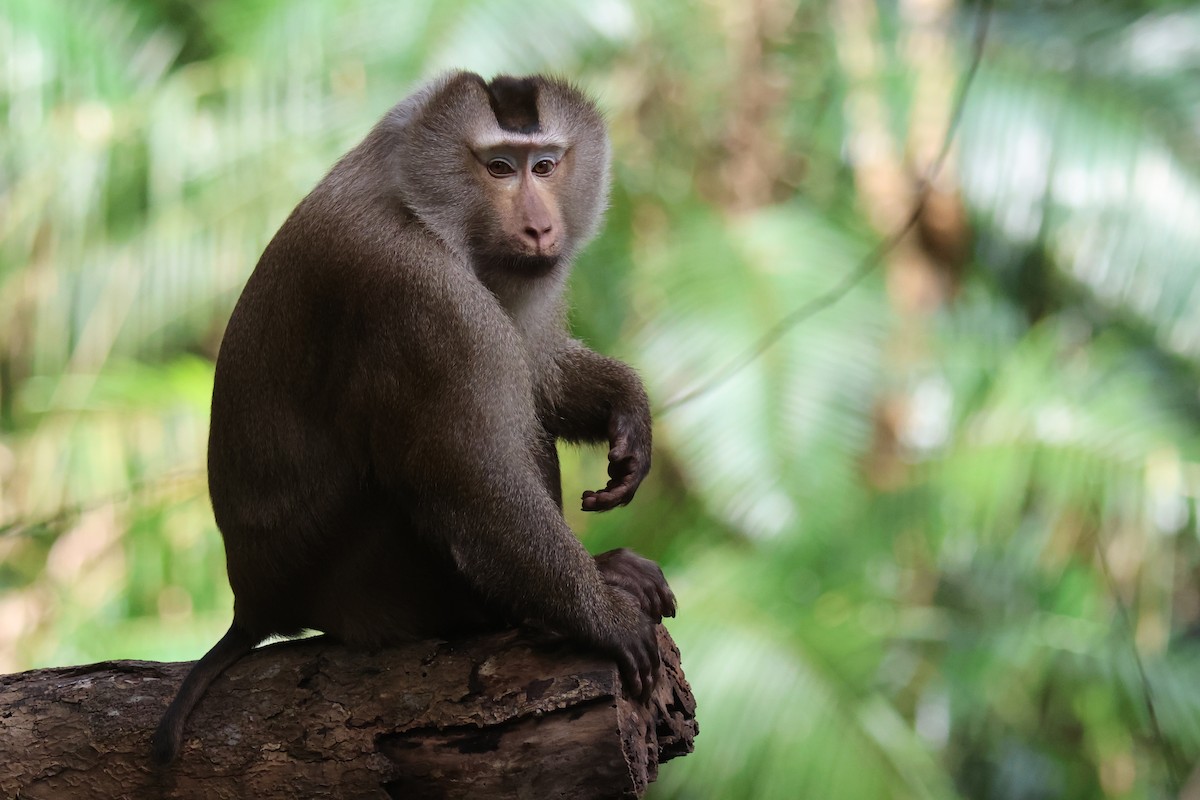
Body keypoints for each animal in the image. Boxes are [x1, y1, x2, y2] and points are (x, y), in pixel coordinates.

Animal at [149, 72, 676, 765]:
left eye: (545, 164)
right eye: (499, 168)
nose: (540, 227)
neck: (422, 204)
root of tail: (255, 603)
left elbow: (540, 373)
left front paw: (627, 410)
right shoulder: (423, 301)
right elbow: (477, 486)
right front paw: (603, 618)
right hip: (364, 584)